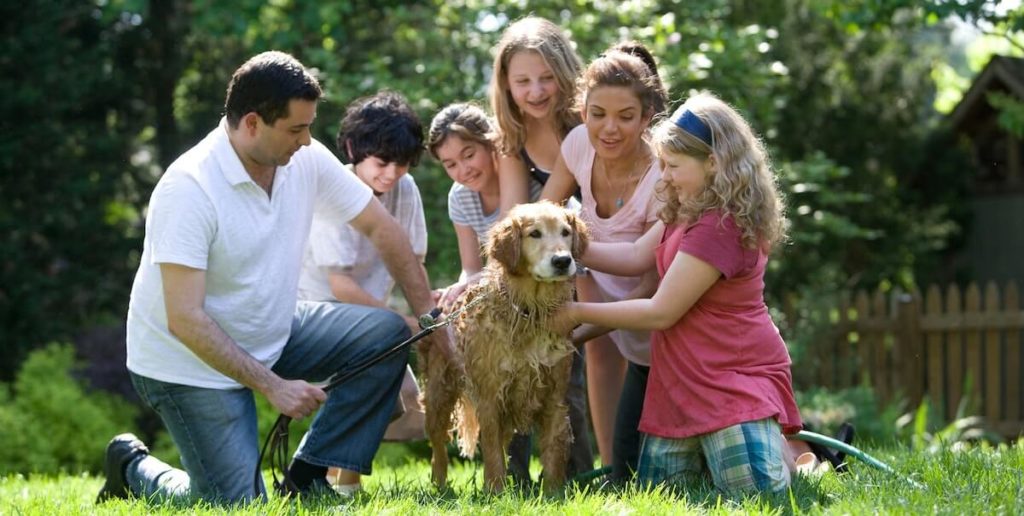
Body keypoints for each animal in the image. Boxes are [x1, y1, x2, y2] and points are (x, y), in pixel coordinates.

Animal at [419, 200, 589, 491]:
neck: (529, 311)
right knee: (438, 447)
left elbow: (553, 452)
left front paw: (553, 492)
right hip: (438, 393)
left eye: (566, 232)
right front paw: (495, 491)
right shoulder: (490, 399)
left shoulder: (554, 397)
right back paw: (439, 487)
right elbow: (492, 453)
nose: (562, 261)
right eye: (534, 234)